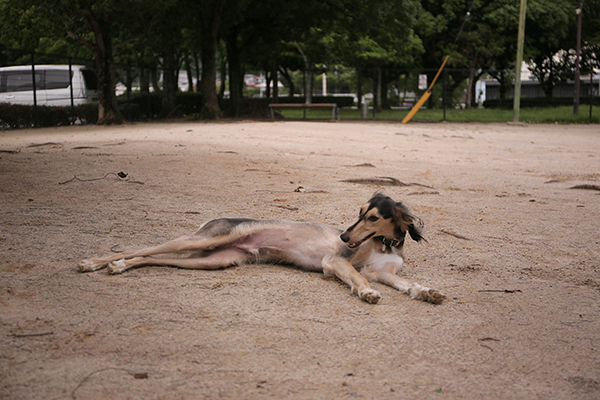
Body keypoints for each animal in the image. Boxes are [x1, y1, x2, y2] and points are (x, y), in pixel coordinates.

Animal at [77, 193, 446, 304]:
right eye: (358, 213)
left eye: (371, 217)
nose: (343, 236)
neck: (383, 246)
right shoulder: (335, 262)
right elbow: (361, 279)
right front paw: (366, 293)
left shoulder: (385, 273)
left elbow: (408, 285)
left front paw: (427, 292)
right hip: (206, 239)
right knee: (144, 248)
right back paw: (95, 262)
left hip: (212, 261)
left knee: (153, 258)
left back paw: (119, 267)